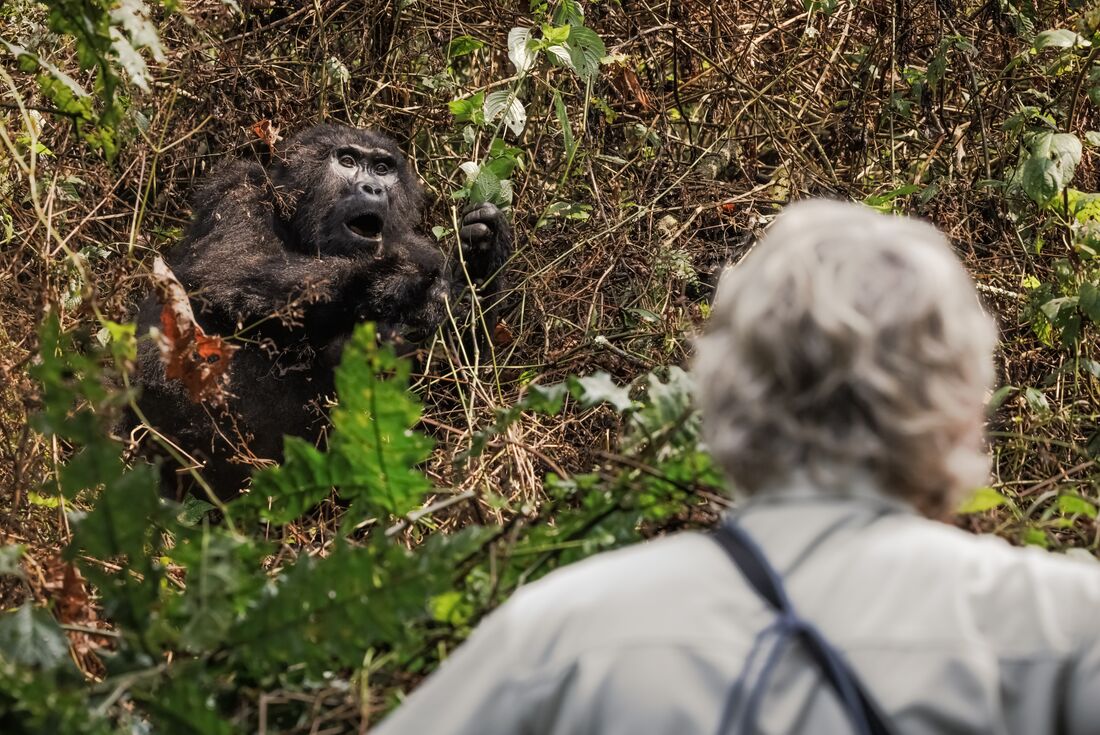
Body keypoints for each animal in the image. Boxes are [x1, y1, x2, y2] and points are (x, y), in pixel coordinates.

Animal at [134, 124, 514, 499]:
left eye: (382, 168)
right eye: (346, 161)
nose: (373, 188)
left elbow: (457, 379)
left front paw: (483, 248)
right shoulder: (237, 191)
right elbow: (229, 272)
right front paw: (389, 278)